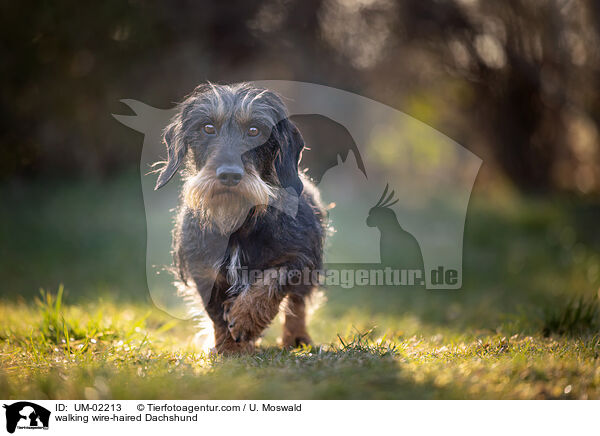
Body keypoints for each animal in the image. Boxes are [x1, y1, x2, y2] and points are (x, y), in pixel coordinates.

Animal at [154, 82, 324, 354]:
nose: (230, 175)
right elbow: (216, 314)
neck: (235, 221)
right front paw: (229, 348)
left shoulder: (300, 257)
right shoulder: (204, 270)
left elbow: (273, 280)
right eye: (208, 128)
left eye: (254, 130)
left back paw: (297, 338)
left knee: (297, 305)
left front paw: (246, 320)